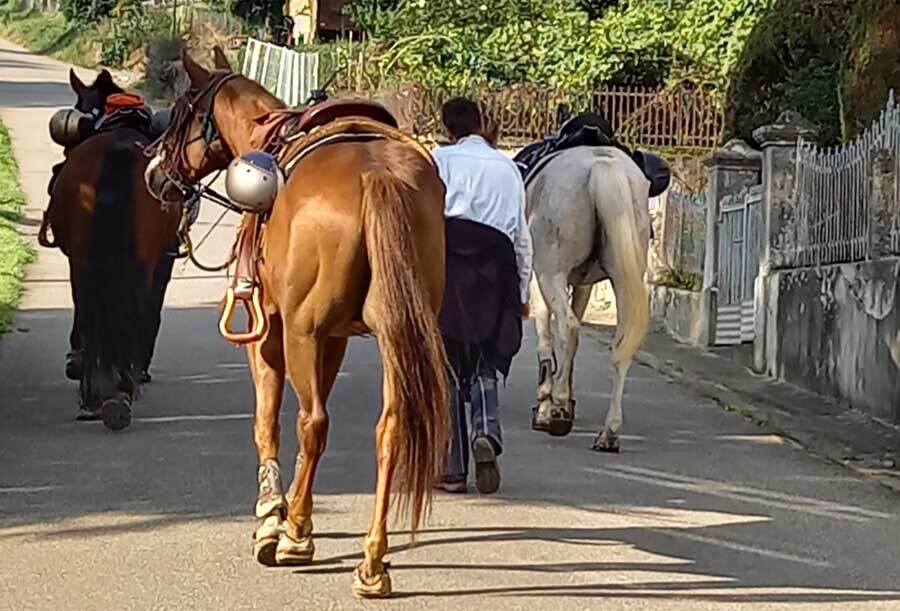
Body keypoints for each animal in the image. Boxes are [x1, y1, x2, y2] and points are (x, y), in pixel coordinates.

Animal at [143, 49, 449, 598]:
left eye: (180, 112)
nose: (156, 172)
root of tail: (377, 176)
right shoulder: (335, 339)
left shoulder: (270, 332)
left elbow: (267, 421)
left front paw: (272, 516)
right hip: (397, 337)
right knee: (389, 430)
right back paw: (373, 561)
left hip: (302, 333)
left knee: (314, 423)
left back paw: (294, 538)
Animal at [527, 146, 651, 452]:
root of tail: (600, 164)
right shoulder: (582, 285)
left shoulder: (539, 278)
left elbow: (546, 338)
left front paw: (546, 405)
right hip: (623, 278)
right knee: (621, 345)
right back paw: (609, 432)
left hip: (551, 273)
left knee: (568, 326)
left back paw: (559, 406)